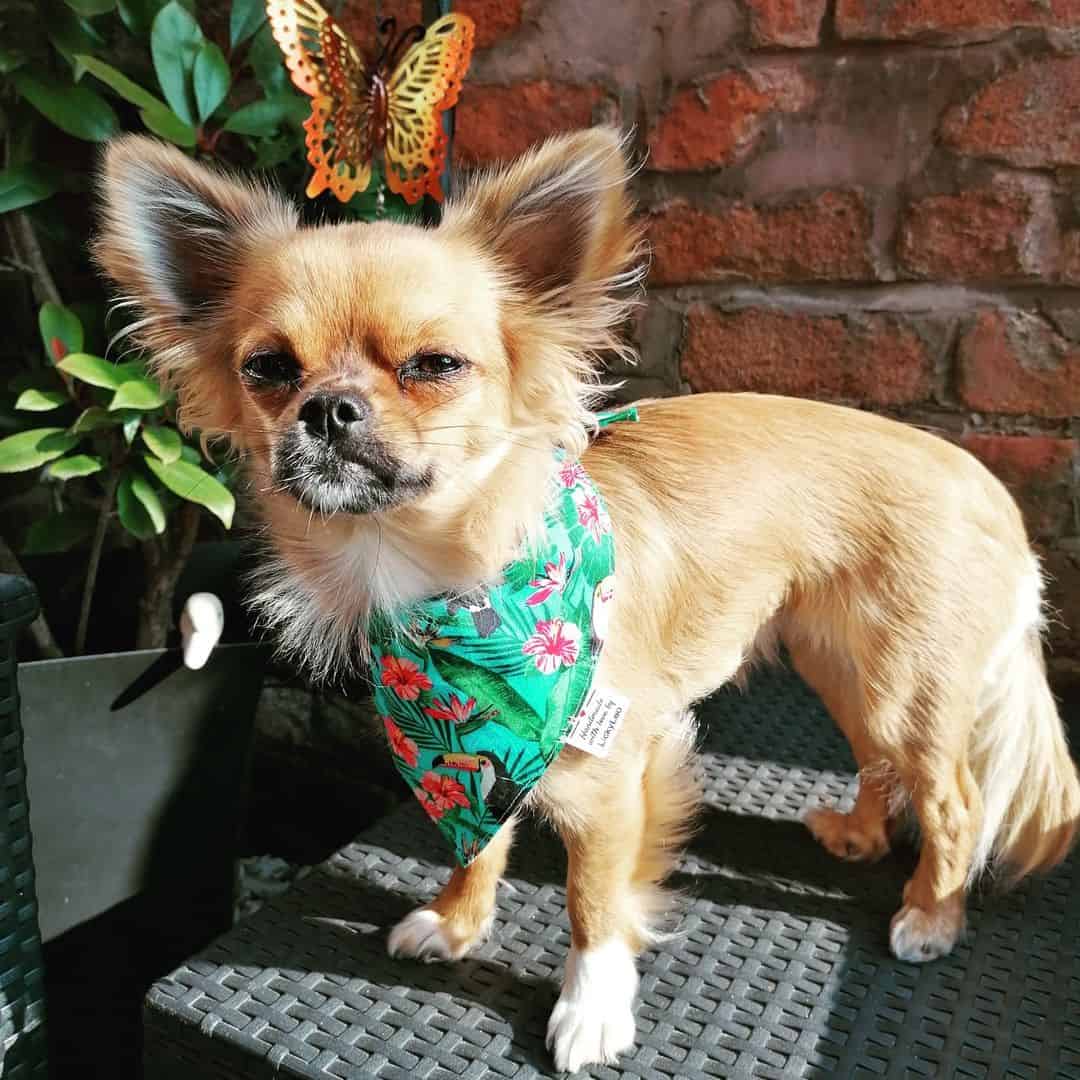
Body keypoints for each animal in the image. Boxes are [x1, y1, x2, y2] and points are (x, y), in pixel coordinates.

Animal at [95, 128, 1080, 1071]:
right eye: (267, 368)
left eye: (435, 364)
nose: (328, 407)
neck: (452, 583)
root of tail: (986, 487)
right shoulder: (474, 757)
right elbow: (482, 840)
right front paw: (457, 921)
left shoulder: (609, 778)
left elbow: (593, 902)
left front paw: (591, 1010)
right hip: (842, 665)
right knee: (882, 766)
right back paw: (860, 837)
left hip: (900, 683)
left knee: (954, 805)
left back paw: (930, 917)